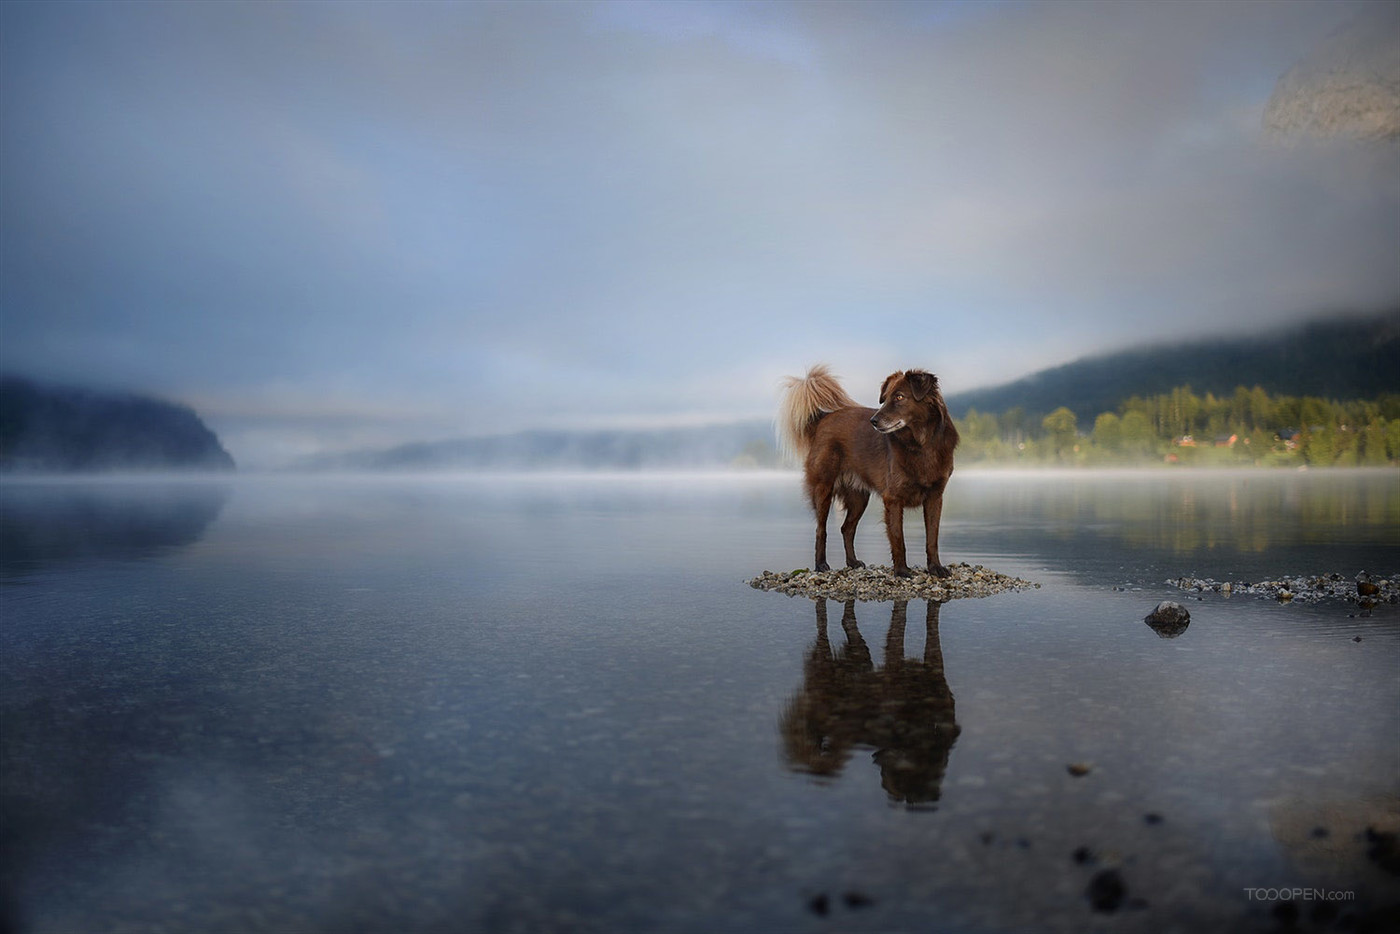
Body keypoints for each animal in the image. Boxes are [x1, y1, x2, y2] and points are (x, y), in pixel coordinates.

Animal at [778, 364, 963, 576]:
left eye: (899, 397)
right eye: (886, 398)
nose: (873, 421)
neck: (921, 443)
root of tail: (823, 418)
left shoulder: (934, 497)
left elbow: (932, 538)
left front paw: (935, 568)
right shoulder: (893, 499)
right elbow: (898, 538)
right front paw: (901, 570)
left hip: (859, 498)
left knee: (847, 529)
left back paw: (852, 561)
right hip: (823, 489)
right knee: (820, 530)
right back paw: (821, 564)